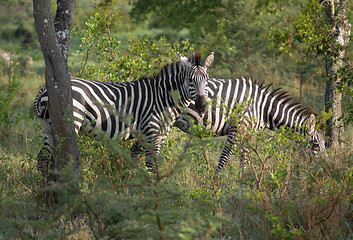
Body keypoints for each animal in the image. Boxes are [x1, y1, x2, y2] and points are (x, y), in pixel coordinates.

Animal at [33, 51, 214, 175]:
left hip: (48, 125)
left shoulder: (154, 134)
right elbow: (151, 164)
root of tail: (45, 88)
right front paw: (154, 192)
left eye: (206, 79)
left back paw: (44, 189)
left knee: (43, 156)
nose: (202, 105)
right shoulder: (152, 132)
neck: (162, 97)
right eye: (190, 80)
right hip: (71, 121)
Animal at [170, 76, 328, 172]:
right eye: (315, 145)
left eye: (324, 144)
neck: (263, 108)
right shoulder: (237, 129)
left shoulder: (247, 131)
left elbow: (244, 157)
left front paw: (243, 182)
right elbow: (225, 158)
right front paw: (216, 183)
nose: (328, 168)